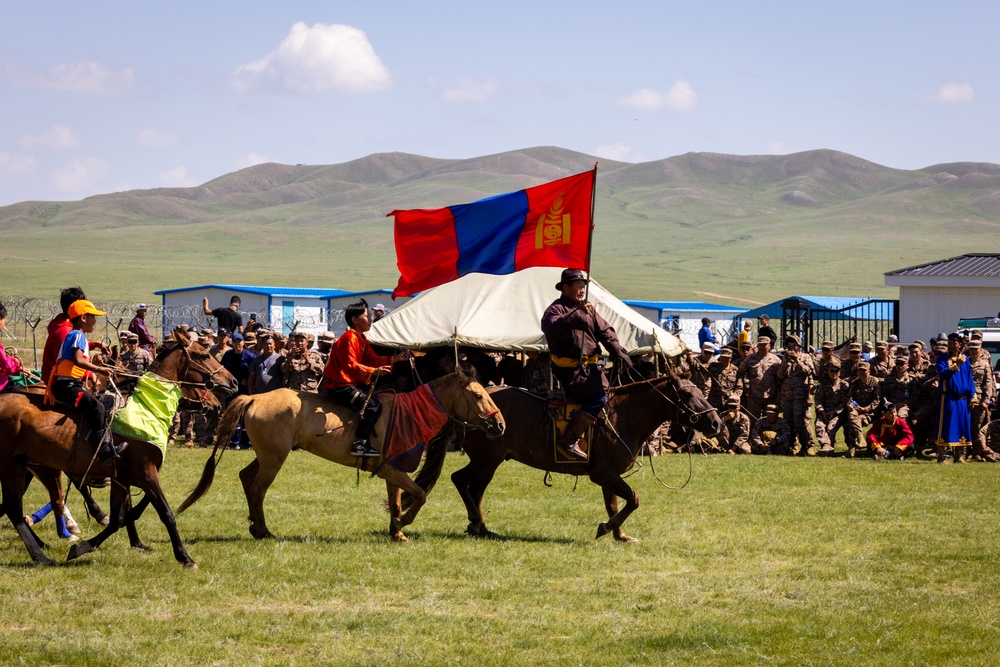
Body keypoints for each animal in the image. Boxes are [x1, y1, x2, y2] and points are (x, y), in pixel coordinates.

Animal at [0, 332, 236, 568]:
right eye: (204, 355)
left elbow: (119, 518)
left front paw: (87, 546)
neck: (145, 408)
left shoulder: (122, 477)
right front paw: (184, 557)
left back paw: (40, 550)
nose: (232, 383)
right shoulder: (145, 471)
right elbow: (165, 513)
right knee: (18, 507)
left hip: (21, 465)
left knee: (13, 507)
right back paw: (41, 550)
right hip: (16, 467)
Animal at [178, 370, 508, 544]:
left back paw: (254, 527)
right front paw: (405, 523)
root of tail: (255, 397)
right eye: (478, 395)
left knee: (247, 478)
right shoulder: (391, 470)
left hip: (267, 454)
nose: (500, 425)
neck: (411, 415)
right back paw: (263, 530)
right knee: (258, 487)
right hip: (274, 458)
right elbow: (419, 495)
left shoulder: (393, 472)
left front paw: (397, 531)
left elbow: (397, 500)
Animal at [410, 370, 724, 544]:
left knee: (474, 489)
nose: (715, 423)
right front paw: (607, 528)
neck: (623, 415)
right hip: (485, 460)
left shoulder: (607, 476)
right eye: (686, 394)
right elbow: (632, 499)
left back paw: (483, 527)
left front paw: (620, 534)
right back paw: (477, 523)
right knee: (460, 480)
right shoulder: (604, 474)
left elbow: (614, 503)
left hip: (488, 463)